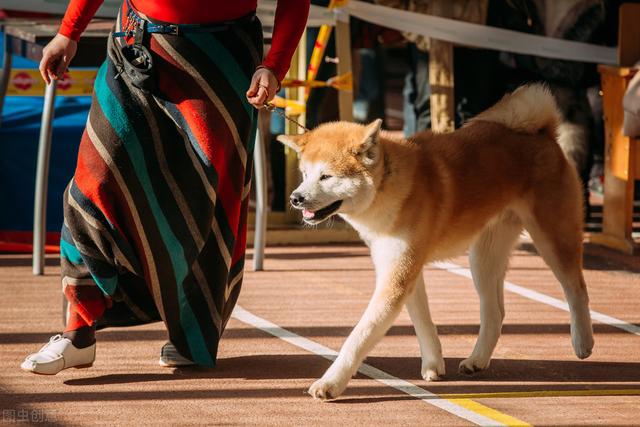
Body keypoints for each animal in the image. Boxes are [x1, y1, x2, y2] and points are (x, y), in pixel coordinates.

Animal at [278, 84, 592, 402]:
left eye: (326, 176)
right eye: (305, 174)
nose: (295, 198)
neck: (389, 186)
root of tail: (542, 133)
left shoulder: (398, 277)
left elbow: (359, 337)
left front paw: (331, 382)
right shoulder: (402, 268)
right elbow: (422, 321)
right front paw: (433, 363)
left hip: (552, 237)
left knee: (577, 289)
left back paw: (583, 342)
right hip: (484, 257)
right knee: (496, 313)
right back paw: (477, 360)